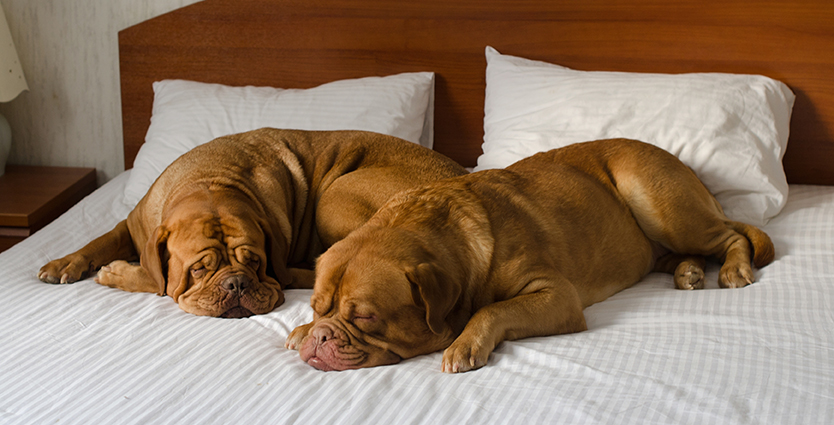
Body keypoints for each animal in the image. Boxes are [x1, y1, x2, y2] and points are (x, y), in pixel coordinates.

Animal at [39, 127, 464, 316]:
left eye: (255, 261)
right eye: (199, 269)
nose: (236, 283)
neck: (210, 178)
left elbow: (158, 281)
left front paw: (118, 273)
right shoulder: (134, 225)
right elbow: (102, 240)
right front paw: (65, 263)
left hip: (335, 196)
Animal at [288, 138, 772, 372]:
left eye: (367, 317)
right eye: (317, 306)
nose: (321, 337)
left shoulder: (555, 295)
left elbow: (493, 310)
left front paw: (465, 343)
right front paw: (302, 330)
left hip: (658, 201)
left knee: (733, 235)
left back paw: (733, 268)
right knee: (688, 252)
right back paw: (689, 272)